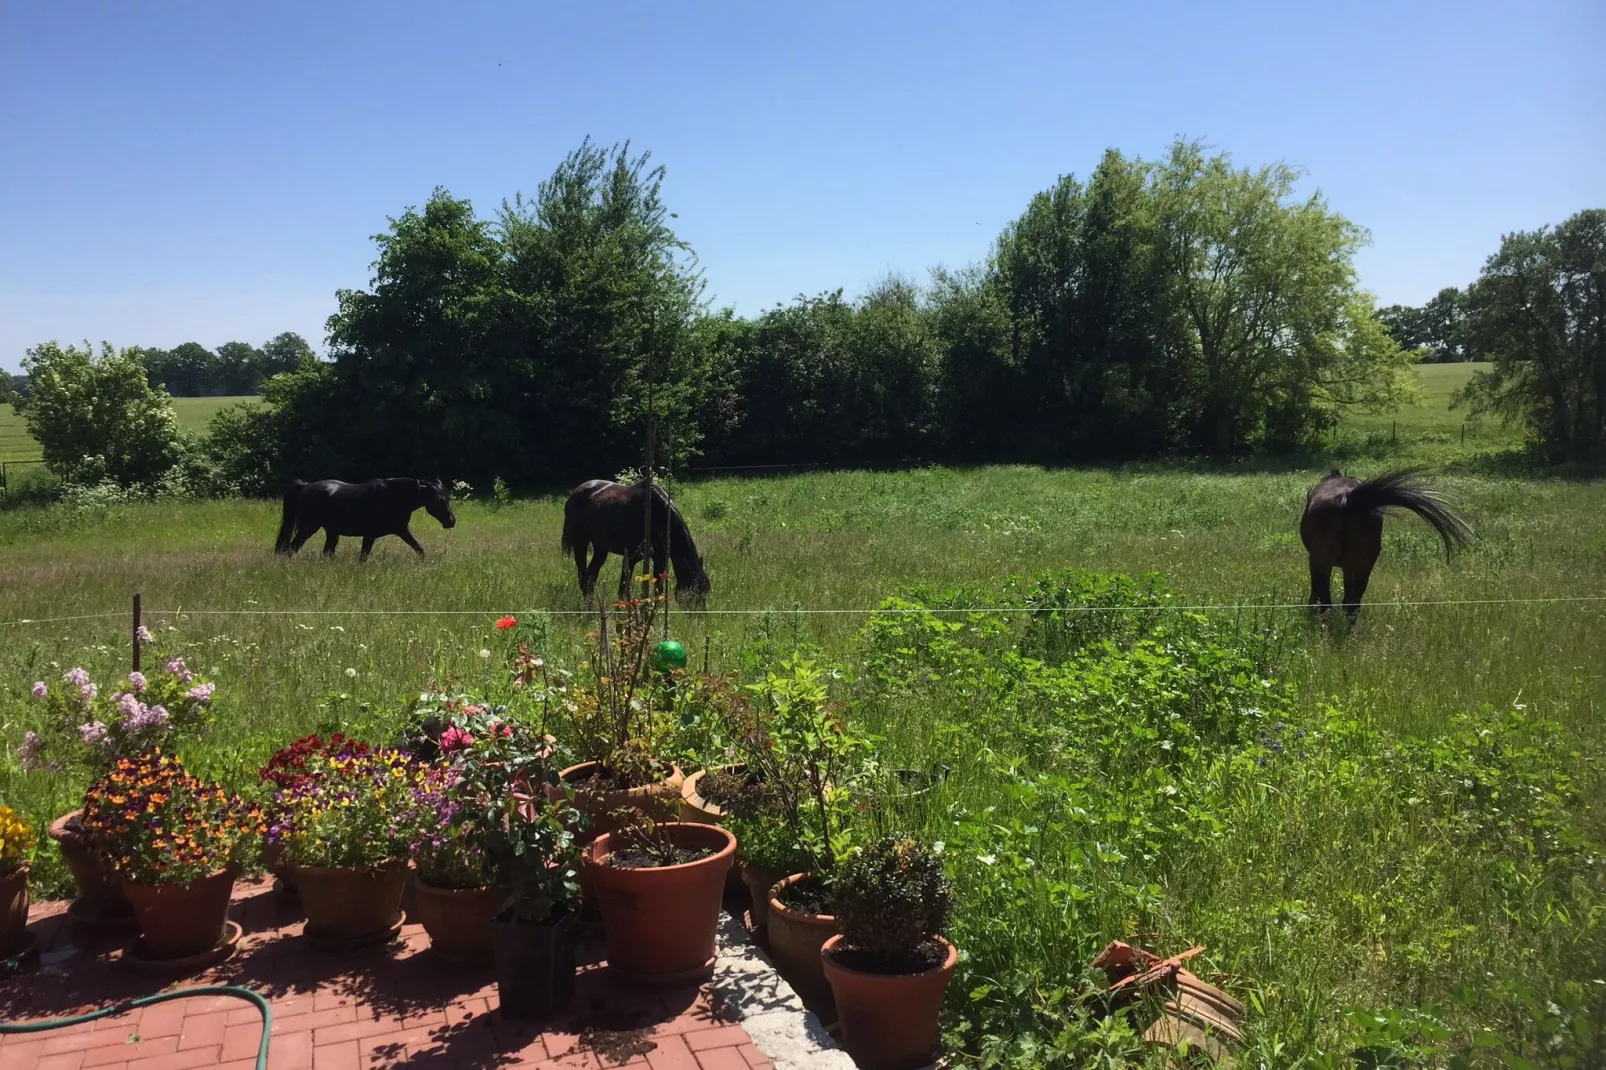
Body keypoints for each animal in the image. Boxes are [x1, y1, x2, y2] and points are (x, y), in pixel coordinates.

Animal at [273, 475, 456, 559]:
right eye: (438, 500)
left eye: (447, 498)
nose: (451, 521)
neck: (393, 497)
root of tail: (305, 486)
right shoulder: (370, 535)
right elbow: (363, 557)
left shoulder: (402, 530)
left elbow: (419, 549)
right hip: (308, 529)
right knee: (290, 549)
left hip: (331, 532)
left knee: (326, 552)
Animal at [558, 478, 709, 604]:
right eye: (694, 593)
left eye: (705, 592)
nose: (700, 618)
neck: (655, 514)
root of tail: (575, 492)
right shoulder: (631, 557)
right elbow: (623, 589)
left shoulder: (659, 558)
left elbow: (657, 589)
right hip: (580, 544)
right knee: (583, 577)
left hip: (601, 548)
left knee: (590, 577)